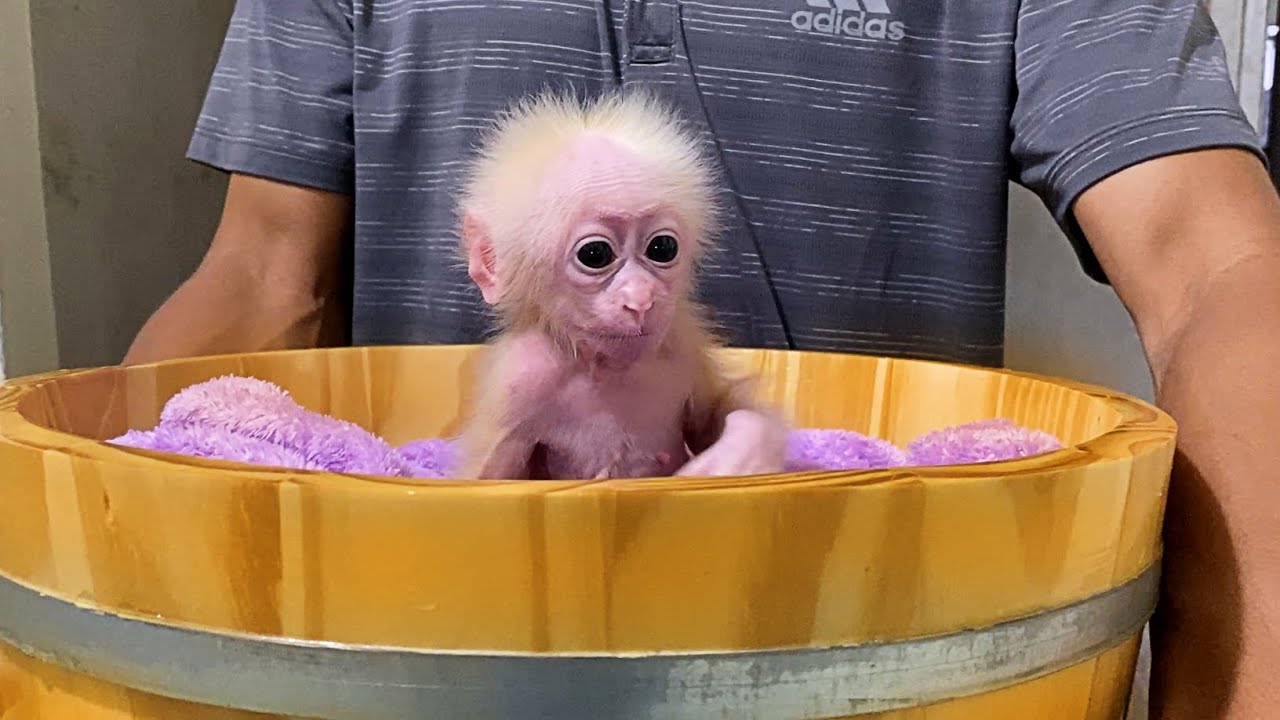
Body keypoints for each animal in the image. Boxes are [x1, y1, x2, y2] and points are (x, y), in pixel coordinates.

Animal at [452, 89, 788, 481]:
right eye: (595, 254)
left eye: (662, 248)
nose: (640, 299)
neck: (602, 367)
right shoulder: (522, 379)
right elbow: (484, 479)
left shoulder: (683, 343)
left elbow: (722, 409)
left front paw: (737, 455)